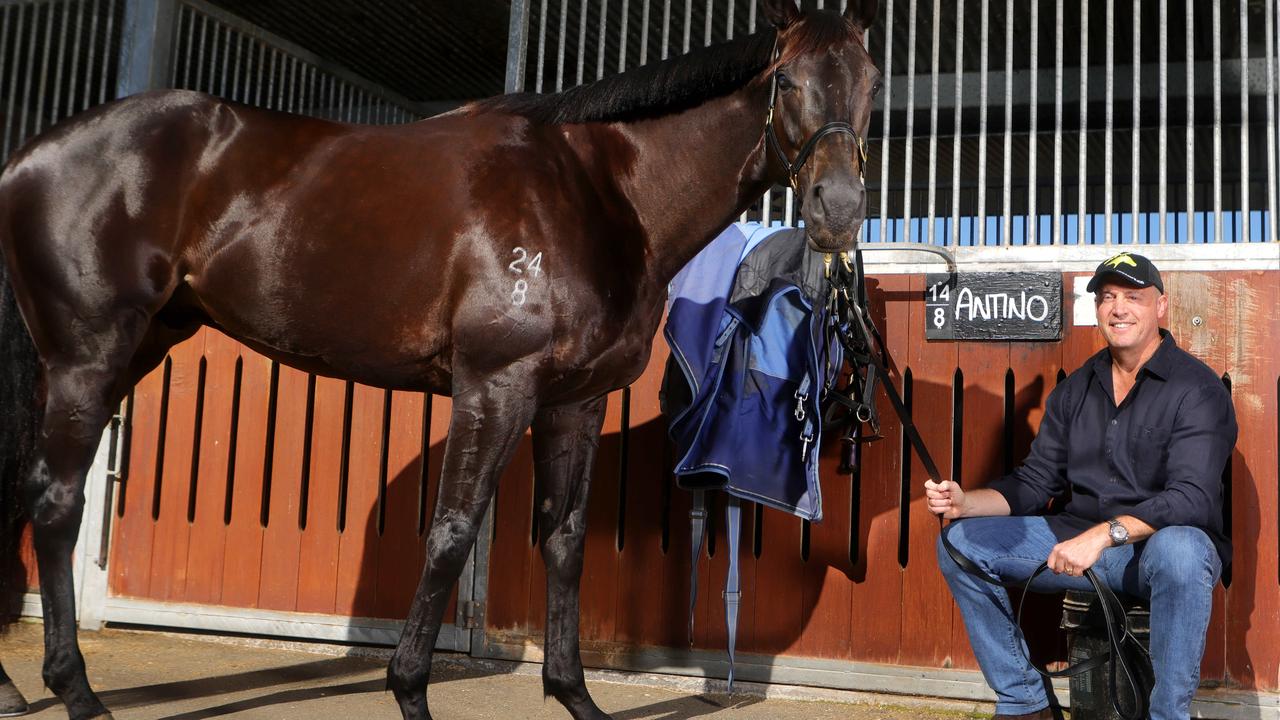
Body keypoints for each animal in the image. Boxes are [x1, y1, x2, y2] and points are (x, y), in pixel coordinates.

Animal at [0, 2, 880, 712]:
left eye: (871, 83)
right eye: (787, 81)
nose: (838, 212)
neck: (599, 192)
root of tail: (27, 157)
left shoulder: (575, 401)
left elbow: (564, 540)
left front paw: (574, 696)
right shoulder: (496, 386)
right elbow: (453, 532)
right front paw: (410, 690)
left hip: (130, 345)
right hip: (89, 355)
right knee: (57, 500)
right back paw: (75, 692)